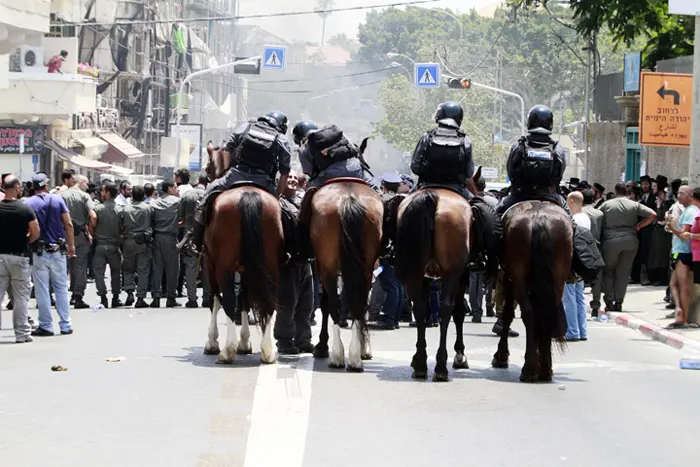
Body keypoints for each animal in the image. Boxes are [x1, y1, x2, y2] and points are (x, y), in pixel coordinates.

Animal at [201, 146, 284, 366]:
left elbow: (215, 300)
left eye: (208, 166)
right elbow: (245, 300)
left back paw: (226, 351)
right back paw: (267, 351)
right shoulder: (247, 269)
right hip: (270, 266)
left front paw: (212, 342)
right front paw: (245, 342)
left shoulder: (209, 264)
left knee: (228, 299)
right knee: (269, 302)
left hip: (223, 267)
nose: (205, 177)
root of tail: (248, 194)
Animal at [302, 141, 382, 372]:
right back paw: (357, 354)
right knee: (359, 302)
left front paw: (322, 345)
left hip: (328, 264)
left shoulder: (321, 265)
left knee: (333, 304)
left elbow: (326, 301)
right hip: (365, 264)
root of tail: (348, 198)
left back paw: (337, 354)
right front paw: (365, 348)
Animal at [394, 170, 482, 382]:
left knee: (419, 307)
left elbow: (425, 308)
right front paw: (460, 354)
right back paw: (441, 365)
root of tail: (432, 197)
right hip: (452, 272)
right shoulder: (462, 275)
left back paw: (420, 363)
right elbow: (458, 312)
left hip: (416, 270)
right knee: (446, 308)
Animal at [490, 202, 572, 384]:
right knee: (547, 314)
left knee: (529, 312)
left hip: (518, 274)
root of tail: (539, 218)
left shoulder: (508, 276)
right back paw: (545, 370)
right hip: (558, 277)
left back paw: (529, 369)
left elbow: (507, 314)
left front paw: (501, 356)